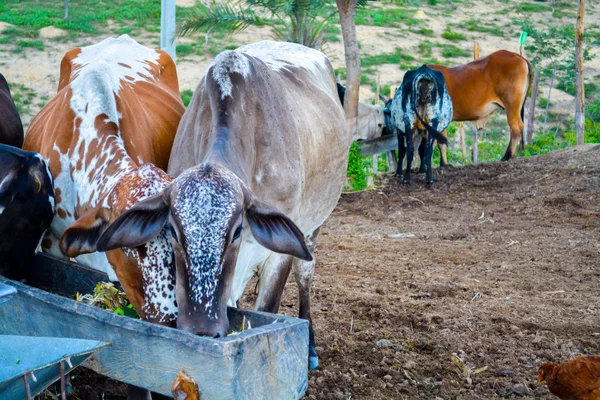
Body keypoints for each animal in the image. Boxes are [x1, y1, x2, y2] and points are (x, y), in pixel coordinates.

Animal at [97, 40, 352, 368]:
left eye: (237, 232)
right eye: (173, 231)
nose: (202, 329)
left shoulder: (278, 252)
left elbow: (267, 308)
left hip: (312, 228)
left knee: (305, 274)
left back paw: (310, 348)